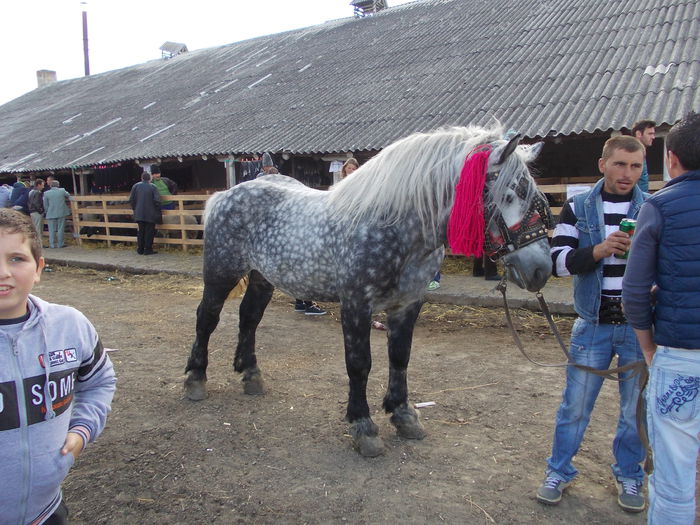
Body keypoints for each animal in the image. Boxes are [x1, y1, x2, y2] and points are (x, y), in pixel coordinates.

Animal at [185, 126, 552, 454]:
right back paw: (195, 379)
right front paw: (363, 426)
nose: (541, 269)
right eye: (508, 195)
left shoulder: (408, 304)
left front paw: (403, 415)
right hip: (220, 273)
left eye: (535, 197)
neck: (394, 228)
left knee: (249, 318)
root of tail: (225, 195)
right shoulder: (356, 305)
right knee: (206, 319)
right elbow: (359, 364)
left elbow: (400, 357)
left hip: (263, 277)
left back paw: (250, 375)